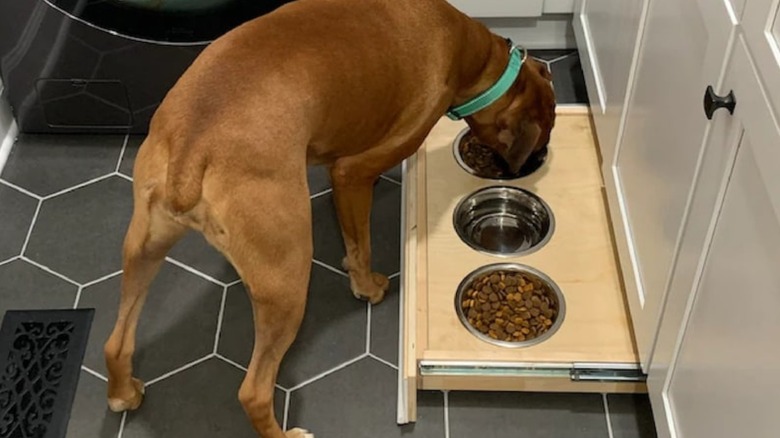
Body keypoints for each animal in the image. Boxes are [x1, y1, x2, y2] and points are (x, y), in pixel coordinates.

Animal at [102, 0, 556, 436]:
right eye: (544, 136)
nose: (534, 162)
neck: (469, 52)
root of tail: (191, 153)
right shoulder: (352, 173)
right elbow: (361, 244)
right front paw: (367, 286)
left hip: (142, 250)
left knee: (116, 342)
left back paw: (124, 394)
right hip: (286, 282)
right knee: (253, 392)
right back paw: (286, 433)